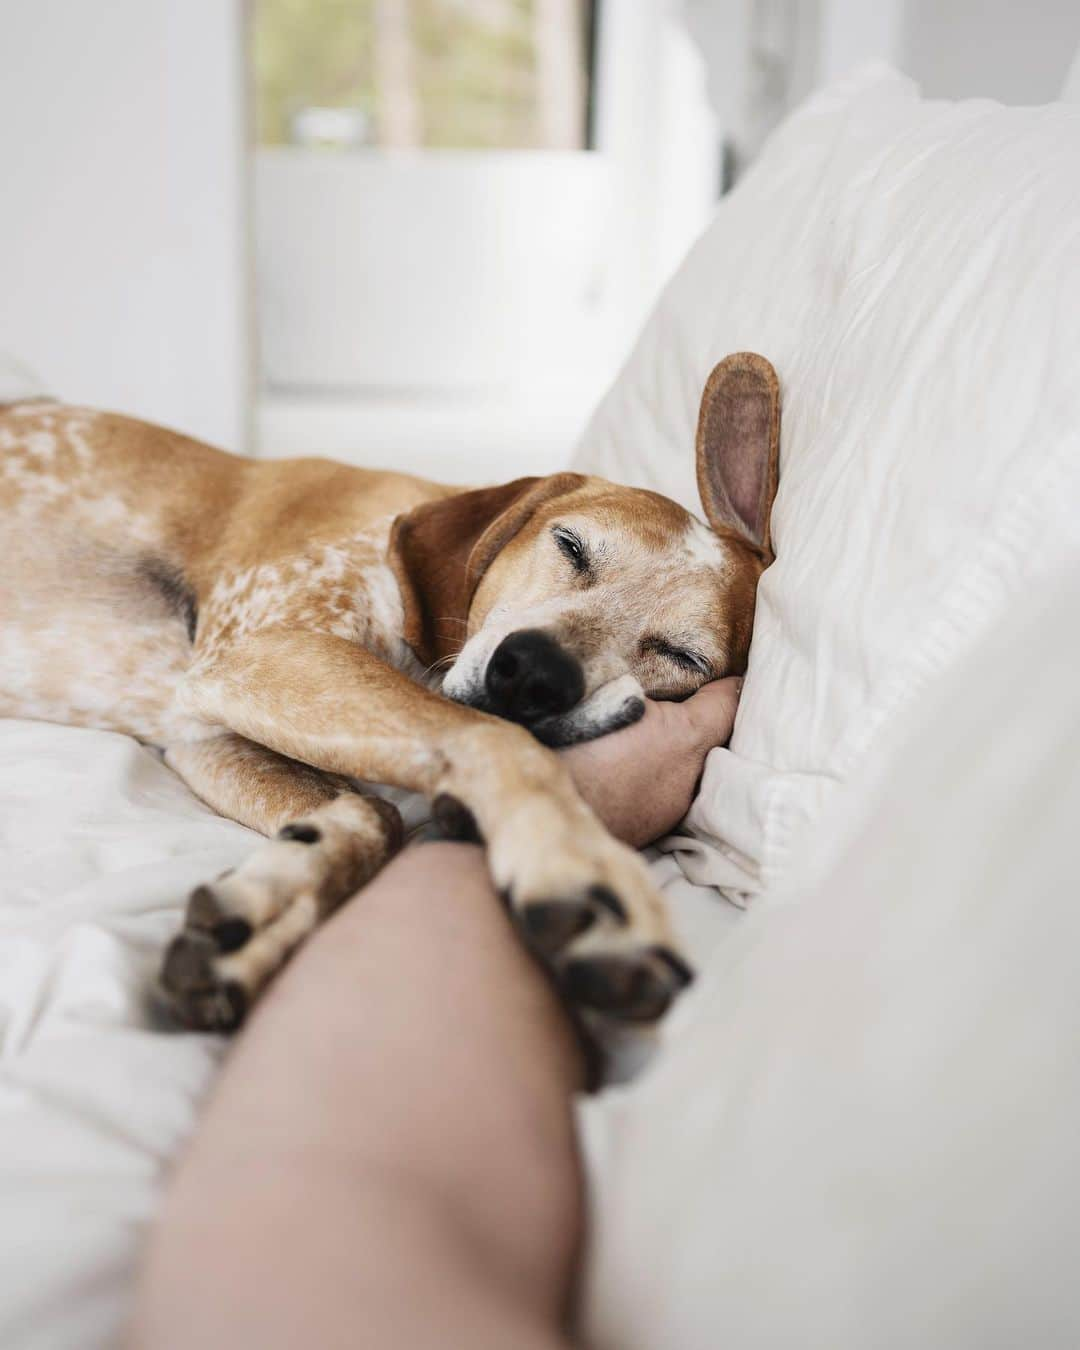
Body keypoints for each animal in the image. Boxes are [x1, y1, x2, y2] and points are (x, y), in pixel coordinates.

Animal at [0, 353, 777, 1026]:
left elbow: (375, 817)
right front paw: (581, 871)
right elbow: (494, 743)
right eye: (570, 546)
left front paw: (266, 911)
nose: (533, 673)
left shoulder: (206, 733)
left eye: (682, 656)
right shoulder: (264, 650)